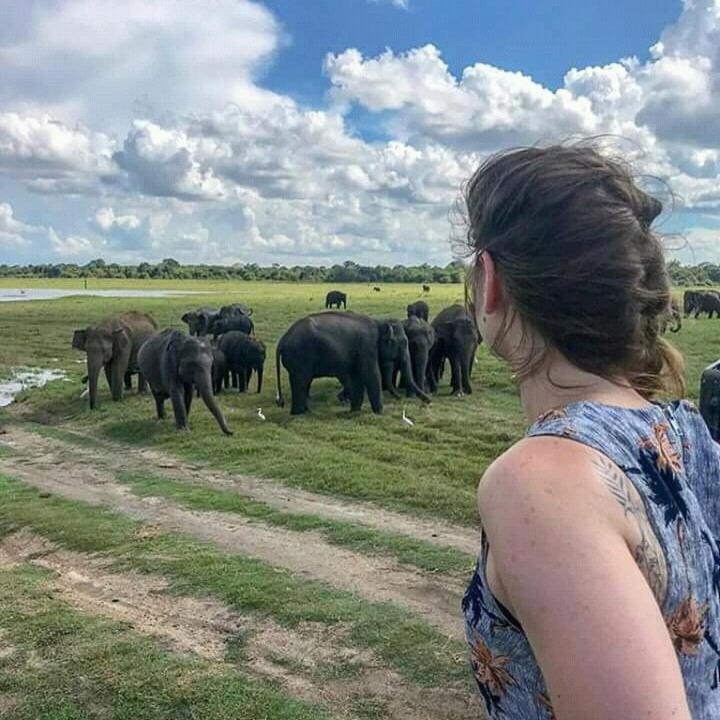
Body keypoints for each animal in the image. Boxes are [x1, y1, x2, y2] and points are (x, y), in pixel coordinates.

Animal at [276, 310, 430, 416]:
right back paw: (300, 413)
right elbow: (372, 375)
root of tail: (282, 340)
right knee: (301, 381)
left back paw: (305, 411)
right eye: (404, 343)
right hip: (299, 357)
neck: (379, 322)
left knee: (301, 382)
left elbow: (357, 377)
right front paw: (380, 412)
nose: (429, 401)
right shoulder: (367, 347)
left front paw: (354, 411)